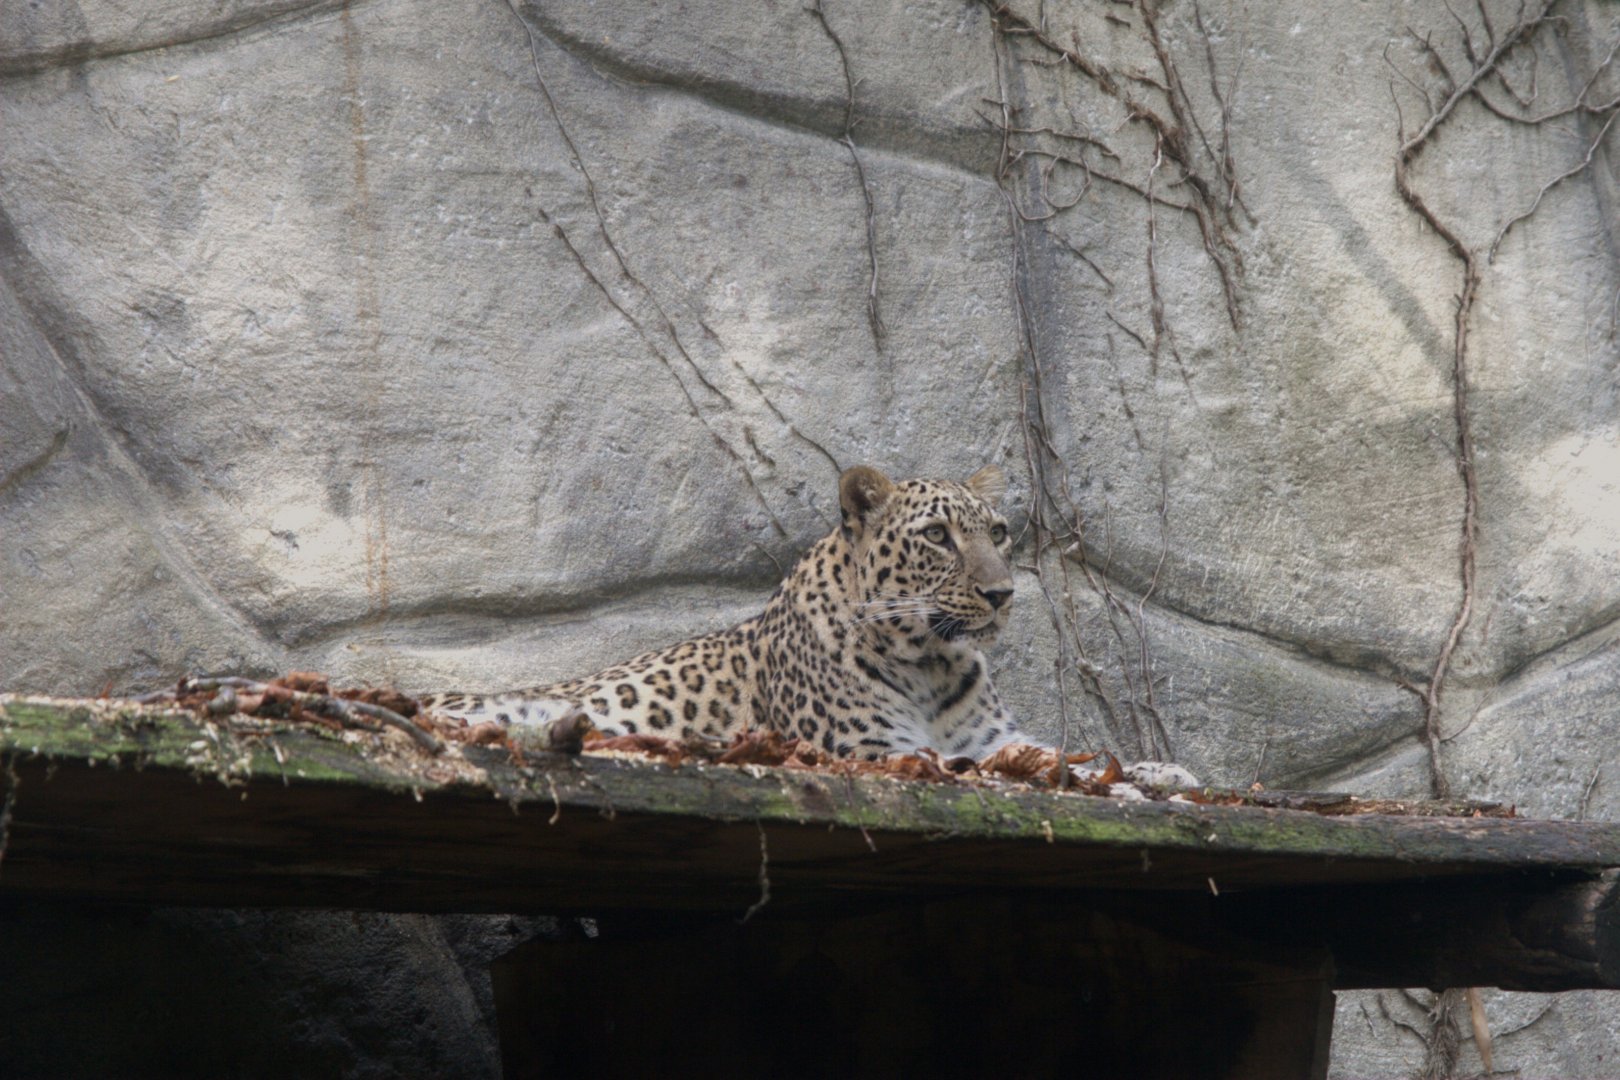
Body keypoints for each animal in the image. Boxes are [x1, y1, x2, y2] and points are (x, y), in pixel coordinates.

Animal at [423, 463, 1035, 760]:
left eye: (998, 533)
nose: (1002, 593)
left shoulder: (1000, 746)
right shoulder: (874, 749)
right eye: (937, 536)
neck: (932, 664)